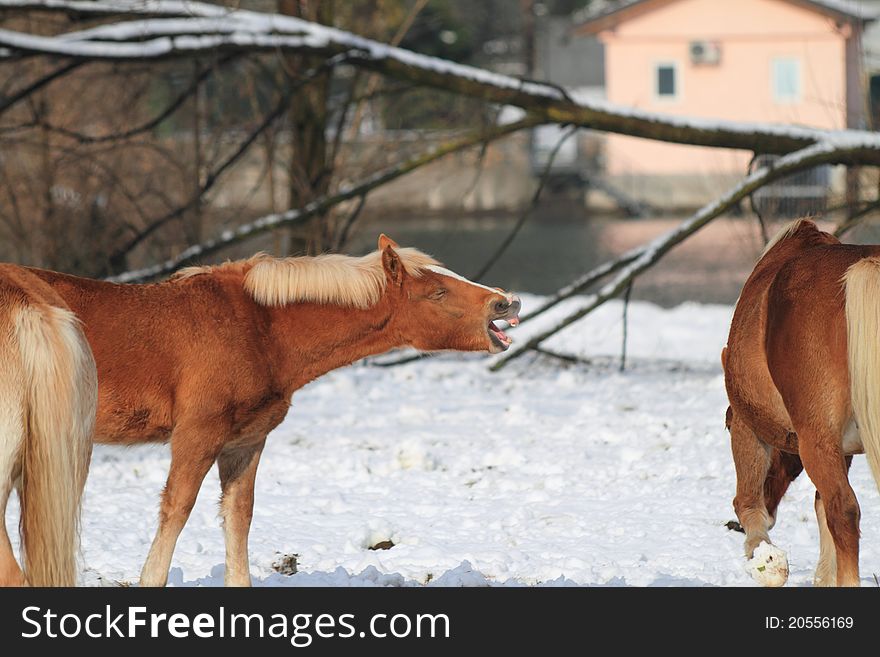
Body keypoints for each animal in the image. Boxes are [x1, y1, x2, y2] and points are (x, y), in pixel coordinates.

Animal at [31, 233, 520, 588]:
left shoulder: (244, 443)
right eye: (437, 291)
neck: (258, 329)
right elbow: (176, 511)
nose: (506, 301)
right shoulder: (197, 436)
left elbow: (238, 519)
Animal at [724, 219, 880, 584]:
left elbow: (749, 503)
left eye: (726, 425)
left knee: (844, 511)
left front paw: (767, 560)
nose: (733, 527)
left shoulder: (748, 426)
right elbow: (820, 509)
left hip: (813, 441)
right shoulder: (841, 449)